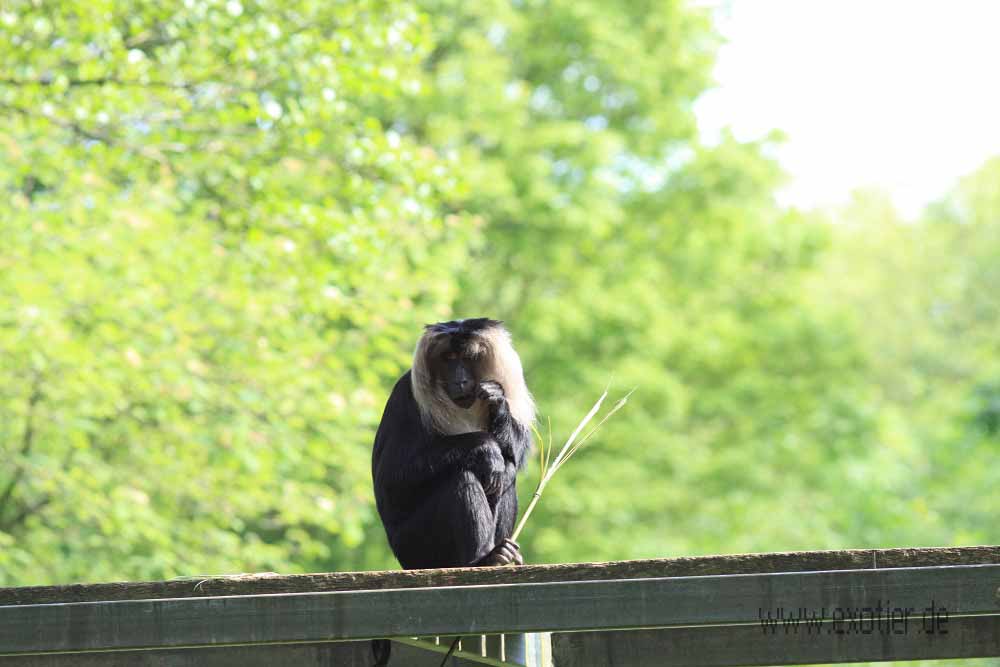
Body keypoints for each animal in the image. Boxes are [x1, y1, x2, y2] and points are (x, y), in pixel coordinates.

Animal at [371, 318, 535, 570]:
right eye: (448, 358)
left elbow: (516, 454)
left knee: (506, 470)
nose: (461, 381)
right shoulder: (406, 395)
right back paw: (483, 559)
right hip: (416, 545)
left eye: (468, 357)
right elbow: (391, 479)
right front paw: (486, 447)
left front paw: (496, 399)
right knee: (462, 476)